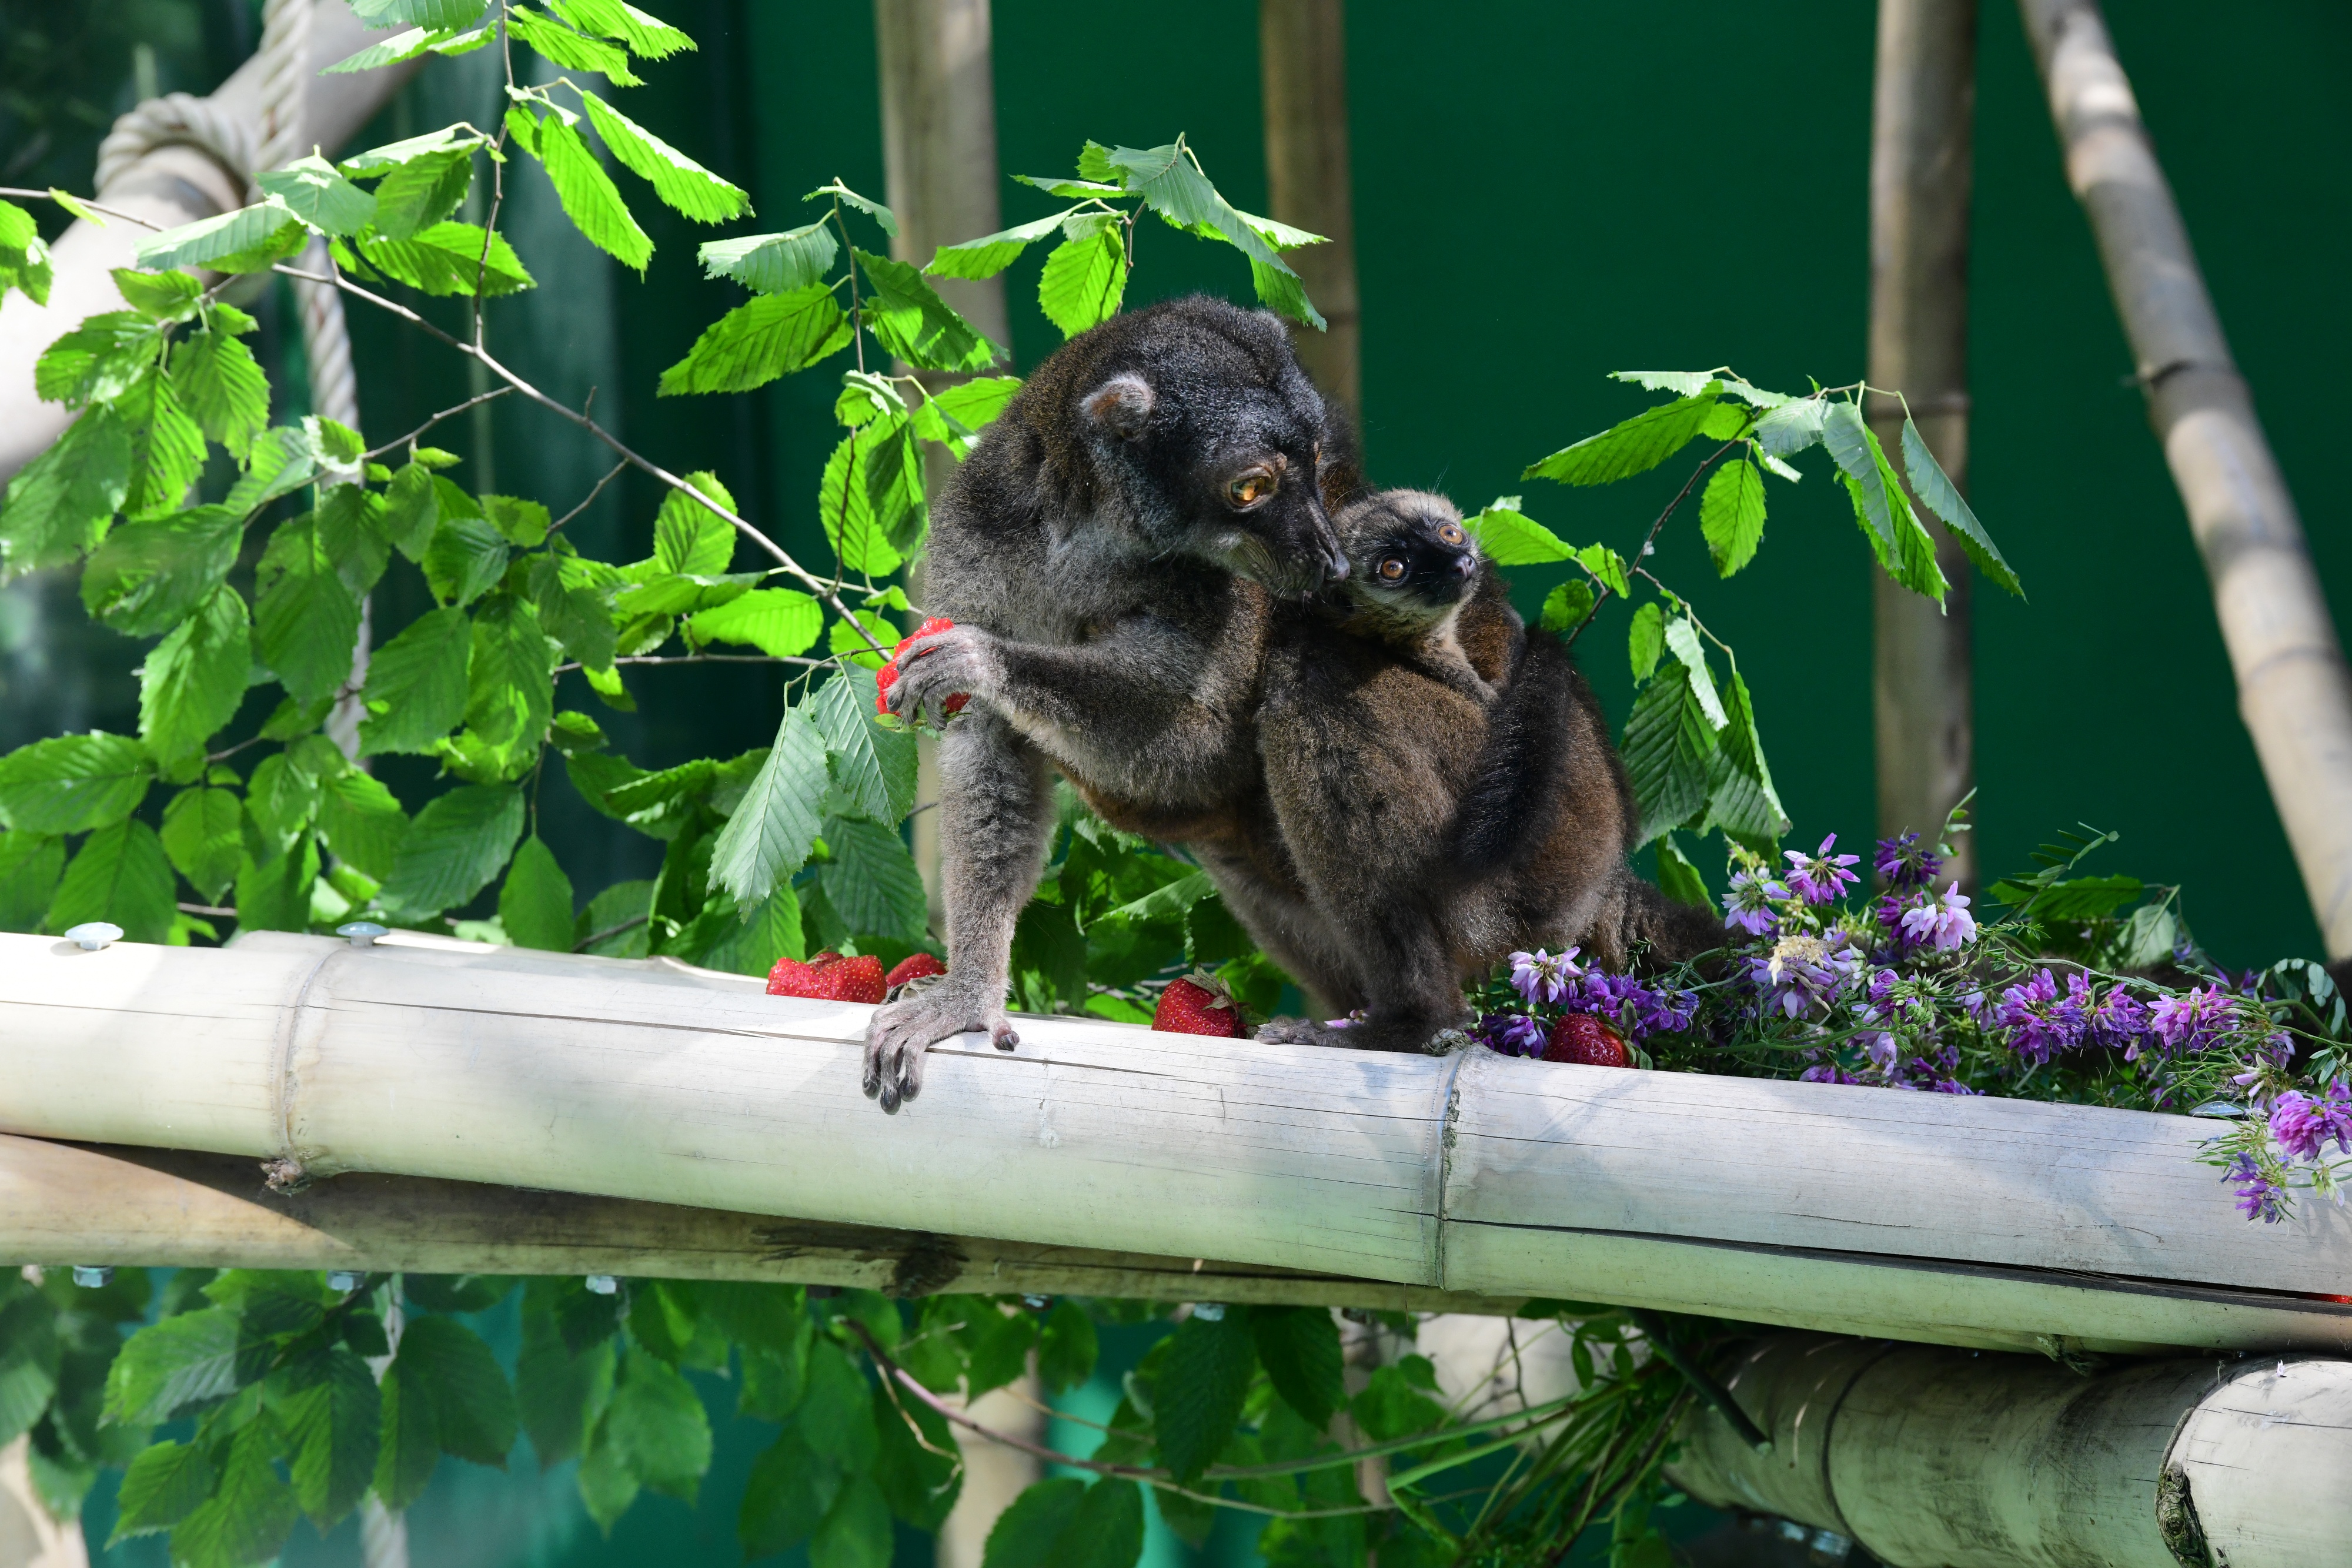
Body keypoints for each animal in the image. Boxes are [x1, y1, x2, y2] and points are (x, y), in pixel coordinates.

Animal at [867, 296, 1350, 1111]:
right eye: (1250, 488)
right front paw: (968, 992)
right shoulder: (976, 527)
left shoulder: (1224, 597)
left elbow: (1200, 752)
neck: (1090, 533)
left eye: (1317, 465)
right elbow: (987, 741)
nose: (1330, 559)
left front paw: (981, 660)